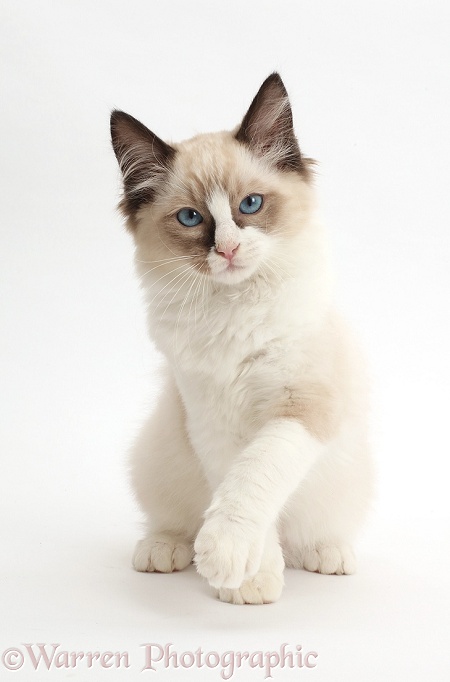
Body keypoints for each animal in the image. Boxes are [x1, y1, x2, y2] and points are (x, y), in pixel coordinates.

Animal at [110, 73, 372, 604]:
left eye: (250, 205)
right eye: (191, 219)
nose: (228, 249)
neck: (234, 310)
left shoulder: (301, 407)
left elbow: (256, 476)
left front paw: (229, 559)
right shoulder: (211, 423)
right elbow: (238, 485)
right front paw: (249, 579)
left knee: (311, 533)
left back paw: (328, 555)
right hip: (157, 456)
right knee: (173, 522)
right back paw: (163, 551)